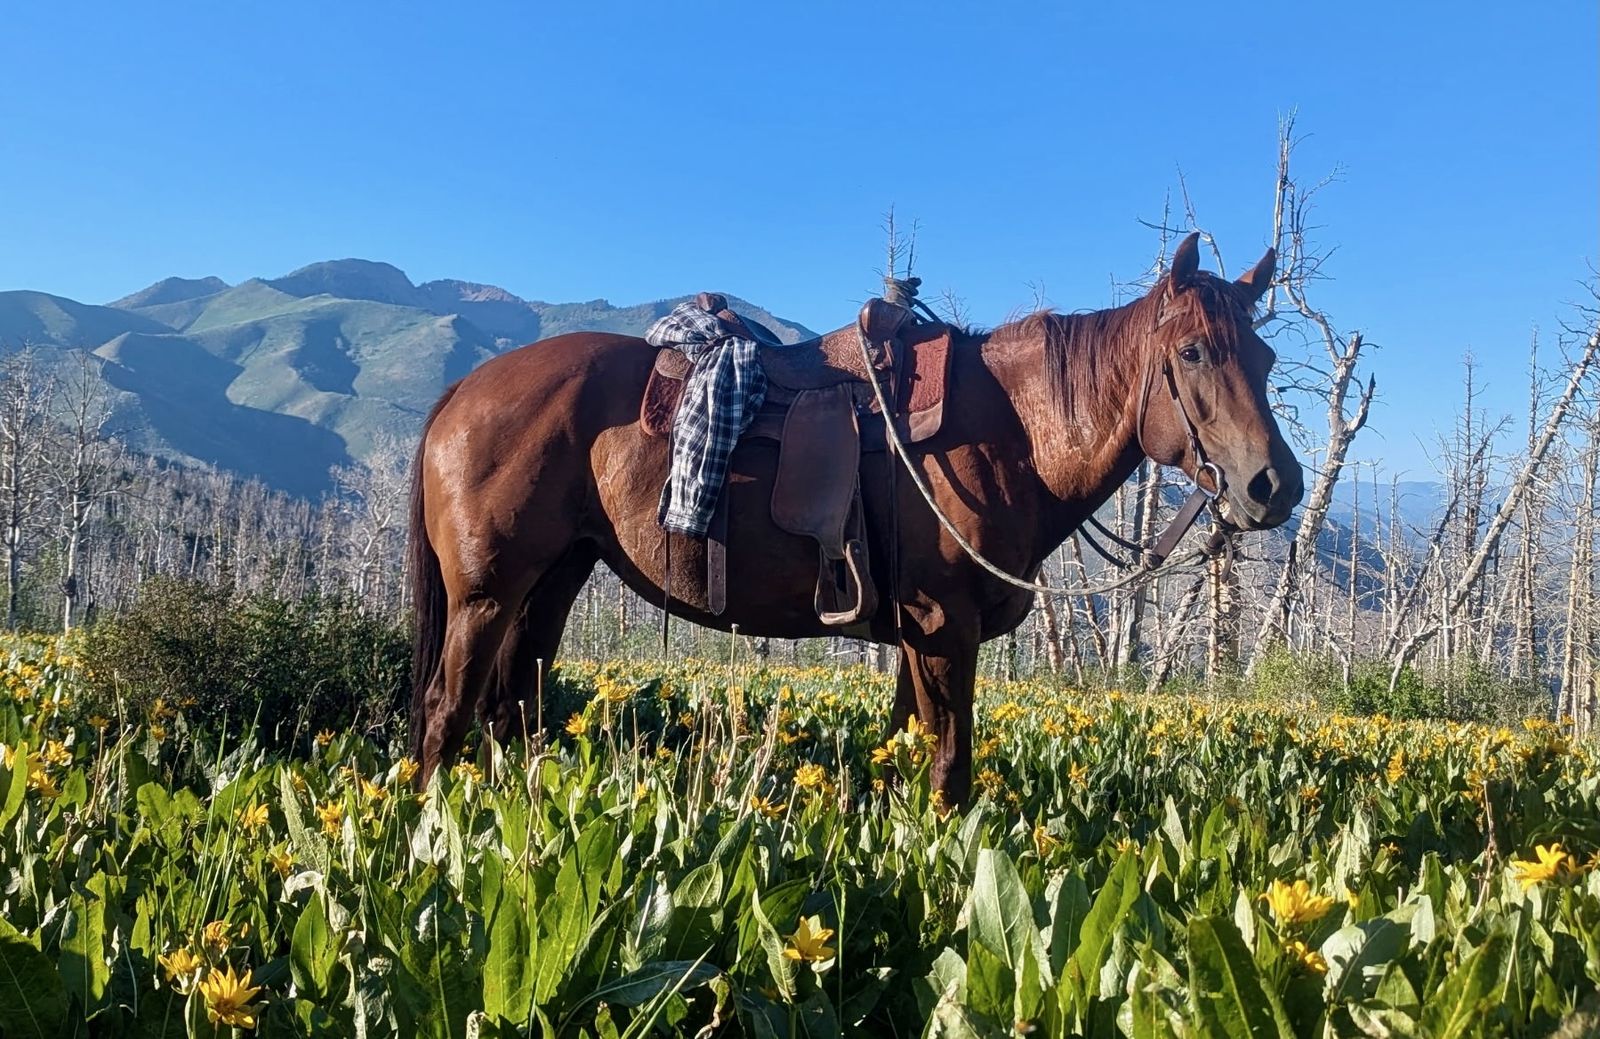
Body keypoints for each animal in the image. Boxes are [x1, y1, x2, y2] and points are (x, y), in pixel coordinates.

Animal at [406, 233, 1303, 805]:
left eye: (1265, 358)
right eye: (1192, 352)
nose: (1276, 485)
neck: (1011, 432)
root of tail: (462, 390)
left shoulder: (917, 634)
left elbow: (906, 755)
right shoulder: (944, 625)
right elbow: (950, 768)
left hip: (554, 581)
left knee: (511, 709)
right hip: (486, 594)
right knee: (447, 712)